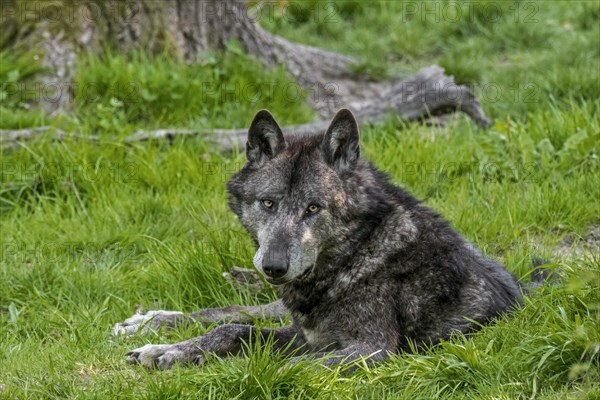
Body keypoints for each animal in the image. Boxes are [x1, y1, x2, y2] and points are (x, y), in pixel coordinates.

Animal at [119, 108, 524, 368]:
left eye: (313, 208)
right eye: (268, 203)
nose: (274, 266)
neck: (357, 254)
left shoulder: (370, 348)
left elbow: (289, 365)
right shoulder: (307, 334)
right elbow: (232, 330)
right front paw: (171, 352)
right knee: (233, 311)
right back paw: (149, 326)